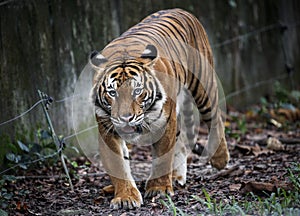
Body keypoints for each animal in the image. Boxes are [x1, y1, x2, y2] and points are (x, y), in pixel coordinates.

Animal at [89, 8, 230, 209]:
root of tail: (180, 10)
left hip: (203, 84)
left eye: (137, 91)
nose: (125, 118)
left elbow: (163, 156)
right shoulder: (107, 129)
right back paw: (177, 176)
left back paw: (220, 159)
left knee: (215, 117)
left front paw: (159, 189)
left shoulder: (165, 122)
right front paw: (126, 197)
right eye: (112, 92)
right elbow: (119, 166)